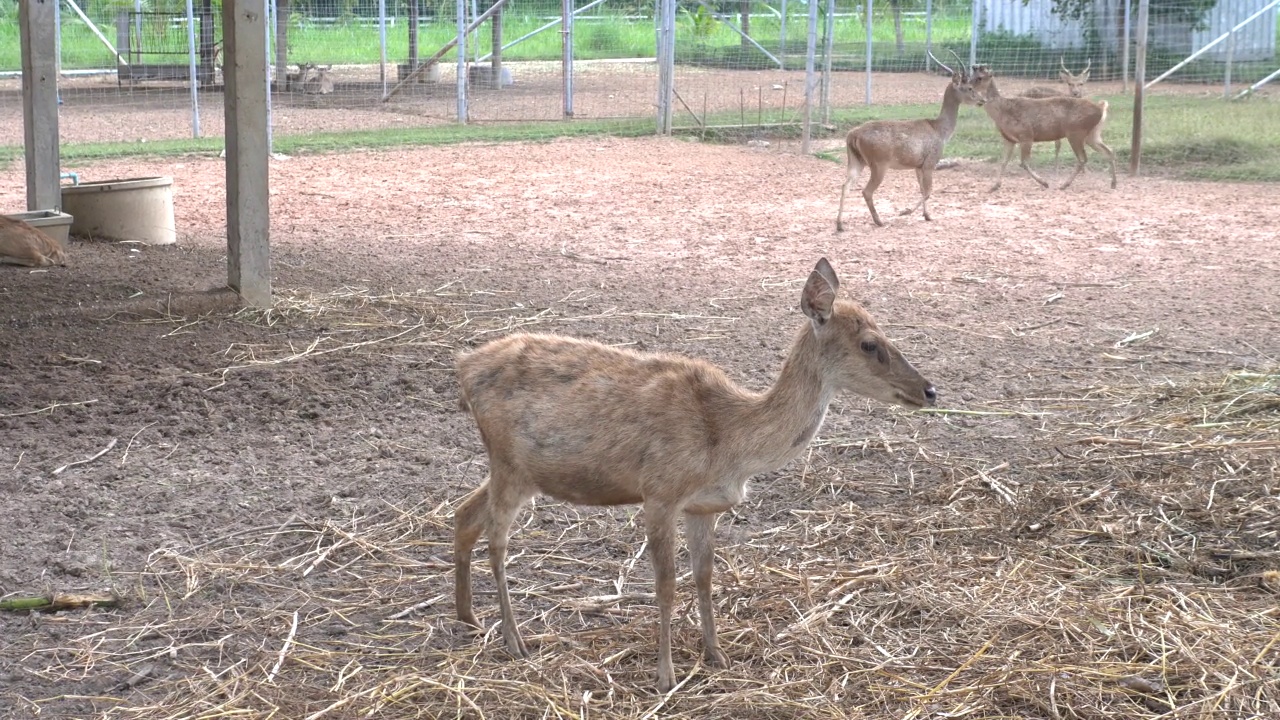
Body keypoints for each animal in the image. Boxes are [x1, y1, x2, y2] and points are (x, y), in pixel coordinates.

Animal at [455, 256, 936, 691]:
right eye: (870, 344)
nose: (929, 390)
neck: (728, 444)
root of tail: (464, 367)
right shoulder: (660, 493)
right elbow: (666, 585)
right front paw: (665, 676)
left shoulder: (703, 506)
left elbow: (705, 577)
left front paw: (717, 654)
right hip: (509, 464)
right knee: (497, 539)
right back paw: (514, 640)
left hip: (516, 469)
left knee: (464, 513)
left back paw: (469, 618)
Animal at [834, 50, 983, 229]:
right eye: (970, 88)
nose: (983, 100)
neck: (940, 131)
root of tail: (852, 135)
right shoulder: (930, 161)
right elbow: (928, 191)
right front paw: (905, 212)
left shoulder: (918, 165)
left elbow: (922, 190)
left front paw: (927, 215)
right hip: (878, 163)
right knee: (866, 190)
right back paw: (879, 221)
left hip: (856, 160)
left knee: (845, 186)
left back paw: (840, 224)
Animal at [972, 62, 1116, 190]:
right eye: (971, 76)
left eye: (980, 78)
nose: (970, 89)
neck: (1002, 111)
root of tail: (1101, 108)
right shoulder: (1008, 139)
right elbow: (1003, 162)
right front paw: (994, 186)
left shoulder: (1026, 135)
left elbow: (1023, 163)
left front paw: (1044, 183)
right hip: (1092, 134)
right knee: (1108, 151)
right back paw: (1113, 183)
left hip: (1076, 132)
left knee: (1083, 158)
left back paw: (1064, 185)